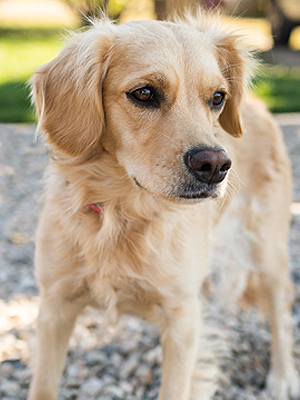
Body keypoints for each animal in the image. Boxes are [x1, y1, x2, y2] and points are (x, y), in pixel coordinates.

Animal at [27, 9, 298, 400]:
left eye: (218, 97)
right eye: (144, 93)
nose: (215, 165)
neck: (123, 212)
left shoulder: (182, 314)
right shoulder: (55, 306)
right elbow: (44, 386)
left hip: (267, 248)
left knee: (280, 310)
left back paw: (283, 375)